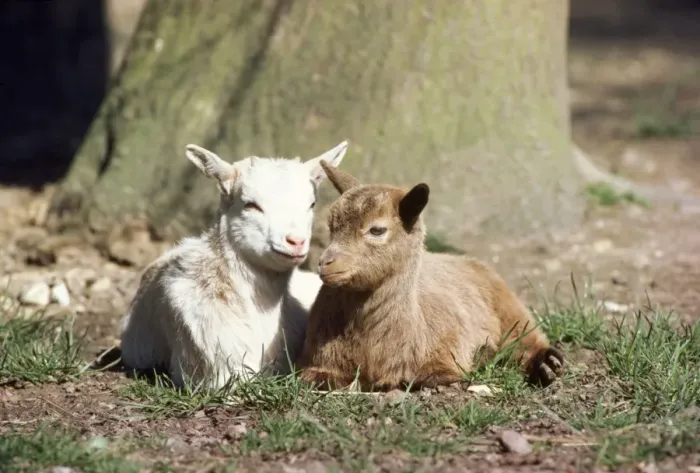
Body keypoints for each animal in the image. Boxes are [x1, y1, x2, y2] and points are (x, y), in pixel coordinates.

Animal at [297, 162, 564, 391]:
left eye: (377, 230)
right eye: (332, 227)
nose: (325, 263)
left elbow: (429, 377)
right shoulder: (319, 362)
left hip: (508, 305)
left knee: (526, 336)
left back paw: (546, 364)